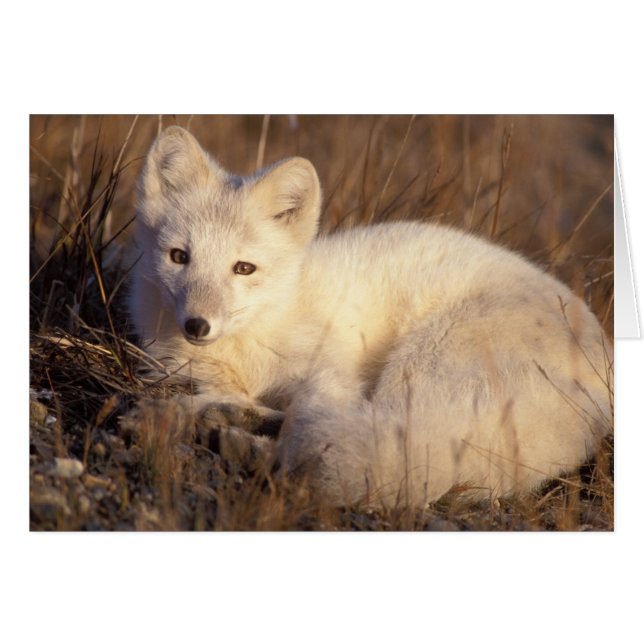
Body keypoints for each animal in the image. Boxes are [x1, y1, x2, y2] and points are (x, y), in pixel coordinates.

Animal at [129, 125, 613, 508]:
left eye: (243, 268)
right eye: (179, 257)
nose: (197, 326)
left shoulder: (331, 374)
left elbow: (308, 415)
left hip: (419, 365)